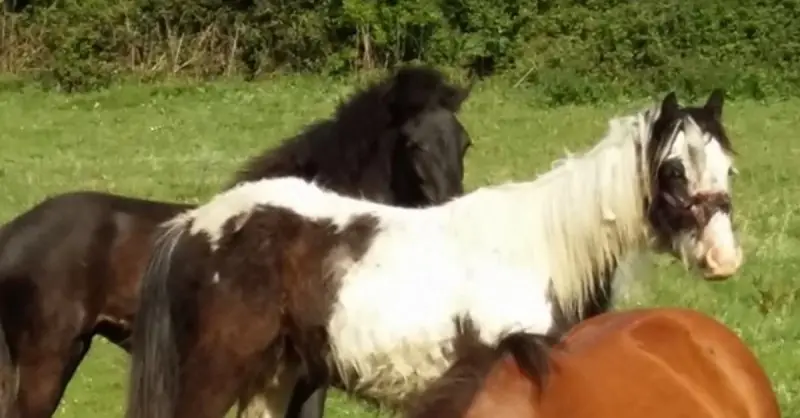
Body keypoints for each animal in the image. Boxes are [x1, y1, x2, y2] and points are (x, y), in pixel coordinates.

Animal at [125, 89, 742, 418]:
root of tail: (191, 225)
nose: (724, 259)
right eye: (673, 170)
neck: (544, 250)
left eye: (728, 169)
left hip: (274, 380)